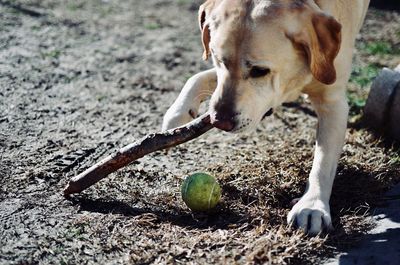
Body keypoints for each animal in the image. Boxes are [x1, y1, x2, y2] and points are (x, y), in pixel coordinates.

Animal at [161, 0, 370, 235]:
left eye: (259, 71)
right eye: (217, 59)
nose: (219, 122)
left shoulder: (333, 101)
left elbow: (323, 163)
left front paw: (312, 206)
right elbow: (197, 77)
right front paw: (177, 115)